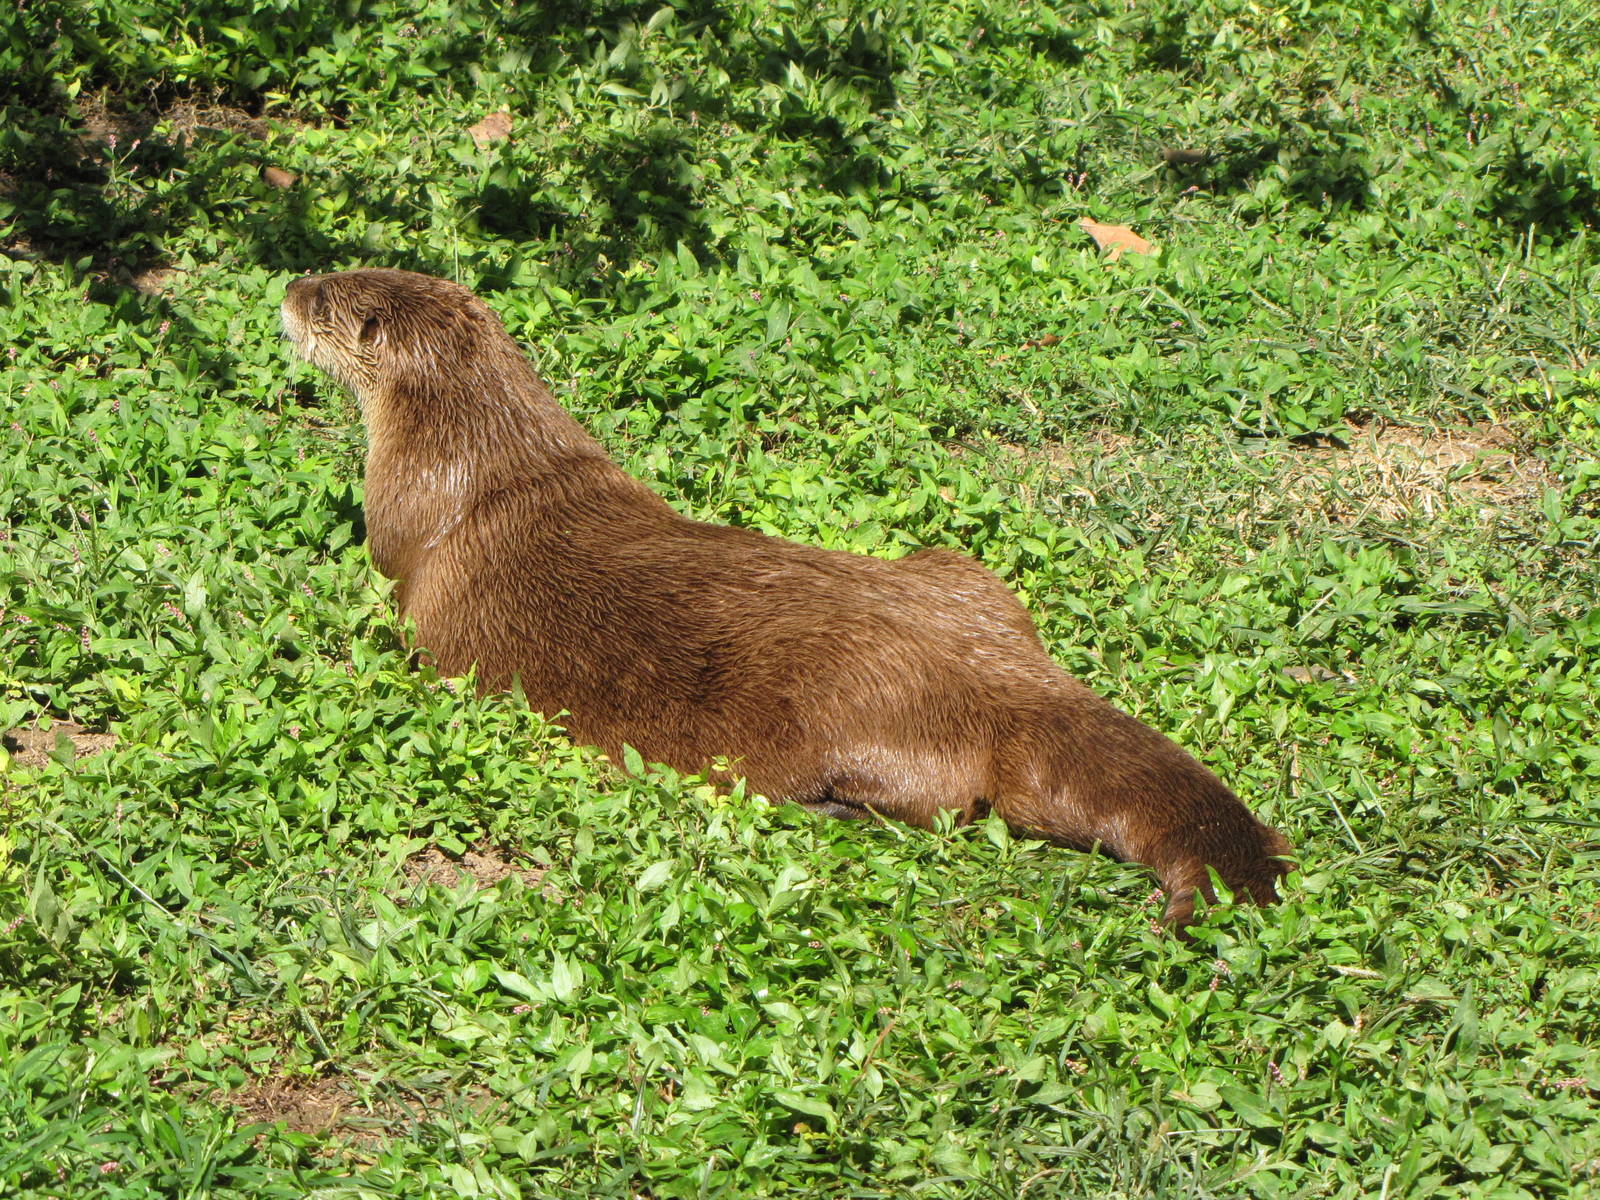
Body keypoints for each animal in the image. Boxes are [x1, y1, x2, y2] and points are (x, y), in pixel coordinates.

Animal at [281, 268, 1291, 930]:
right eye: (337, 265)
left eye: (324, 299)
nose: (287, 285)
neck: (486, 461)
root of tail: (1004, 675)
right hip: (964, 573)